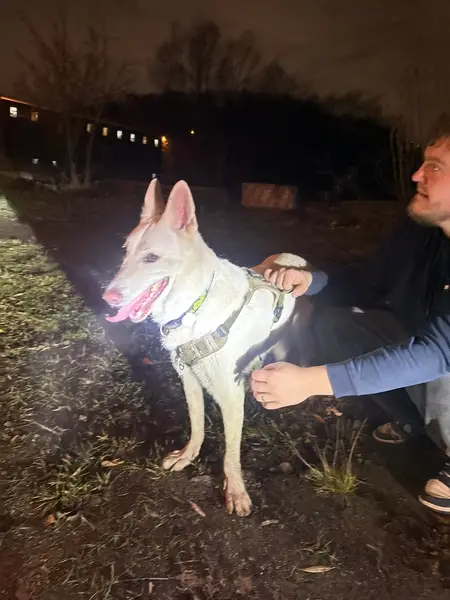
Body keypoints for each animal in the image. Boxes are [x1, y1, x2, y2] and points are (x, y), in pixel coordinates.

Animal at [103, 179, 309, 516]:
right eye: (125, 252)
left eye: (151, 258)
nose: (107, 299)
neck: (195, 305)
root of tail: (296, 258)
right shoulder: (189, 380)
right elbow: (197, 425)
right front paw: (188, 457)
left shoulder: (231, 397)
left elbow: (231, 453)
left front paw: (235, 491)